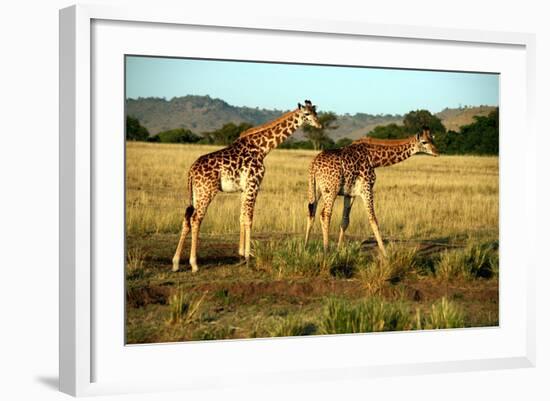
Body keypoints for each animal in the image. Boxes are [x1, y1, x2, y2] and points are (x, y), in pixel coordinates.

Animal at [172, 100, 324, 272]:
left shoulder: (244, 189)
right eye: (307, 114)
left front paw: (241, 254)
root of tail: (191, 171)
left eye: (316, 112)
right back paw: (194, 264)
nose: (319, 125)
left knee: (187, 218)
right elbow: (250, 218)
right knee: (196, 219)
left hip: (195, 193)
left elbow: (242, 216)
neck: (262, 148)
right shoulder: (254, 184)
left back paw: (176, 263)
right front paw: (247, 256)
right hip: (207, 191)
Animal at [302, 126, 440, 255]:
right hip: (331, 190)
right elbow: (373, 220)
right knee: (325, 214)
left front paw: (338, 249)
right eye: (424, 142)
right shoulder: (367, 188)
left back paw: (306, 246)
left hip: (315, 189)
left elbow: (345, 221)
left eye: (432, 139)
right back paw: (326, 250)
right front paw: (385, 254)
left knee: (311, 212)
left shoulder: (350, 193)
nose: (436, 152)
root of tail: (313, 165)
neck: (374, 158)